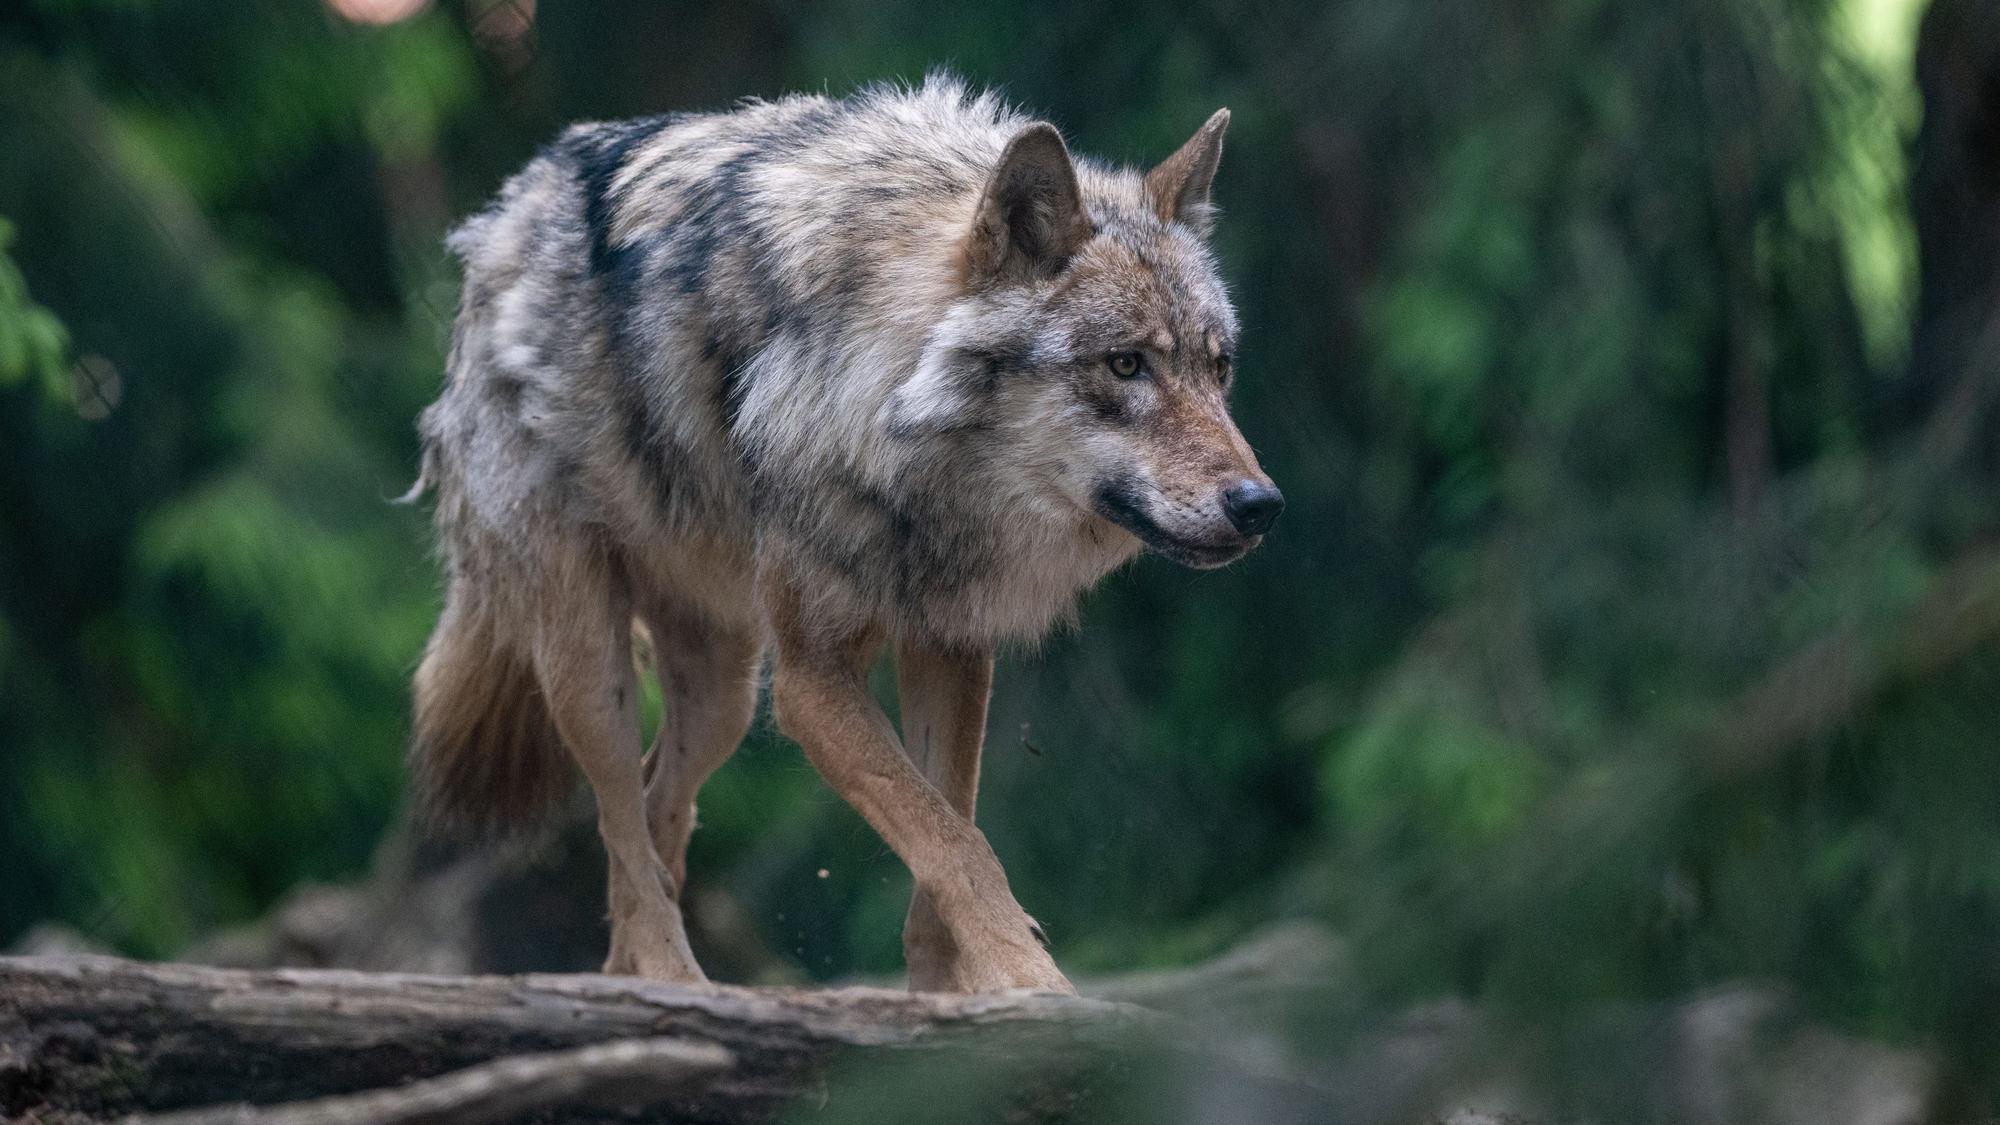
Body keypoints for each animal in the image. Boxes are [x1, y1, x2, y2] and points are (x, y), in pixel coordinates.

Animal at [408, 77, 1282, 995]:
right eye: (1124, 365)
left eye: (1218, 368)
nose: (1260, 503)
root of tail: (505, 211)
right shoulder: (811, 682)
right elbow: (955, 843)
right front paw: (1031, 982)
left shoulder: (949, 646)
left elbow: (947, 829)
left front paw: (949, 994)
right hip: (594, 666)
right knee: (621, 822)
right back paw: (672, 979)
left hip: (722, 694)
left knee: (655, 815)